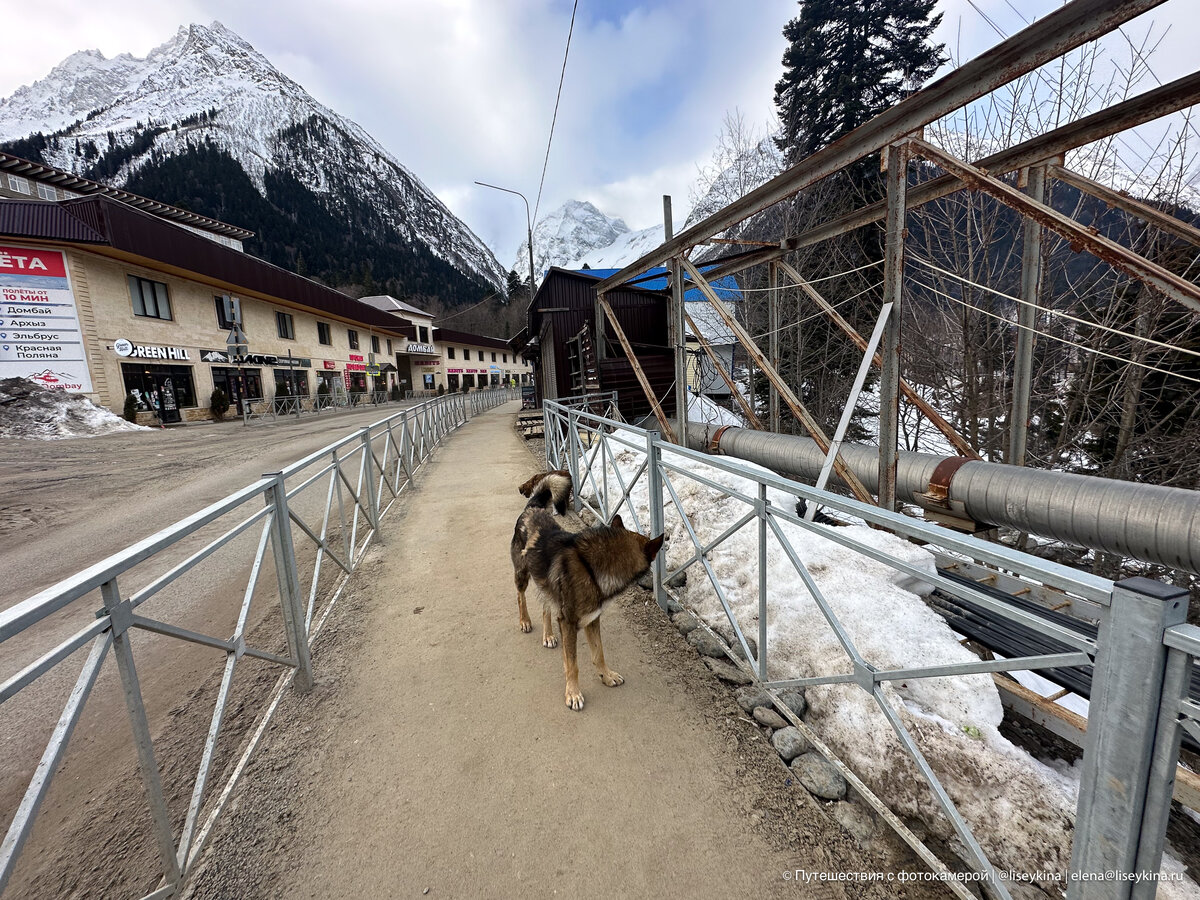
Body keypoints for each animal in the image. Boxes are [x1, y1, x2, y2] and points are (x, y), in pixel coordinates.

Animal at [513, 513, 667, 710]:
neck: (591, 568)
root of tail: (531, 510)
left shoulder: (592, 619)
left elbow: (599, 653)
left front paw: (606, 676)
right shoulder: (568, 624)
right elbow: (572, 664)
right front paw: (573, 693)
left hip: (545, 584)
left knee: (546, 607)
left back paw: (548, 635)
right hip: (522, 574)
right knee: (521, 597)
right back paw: (525, 621)